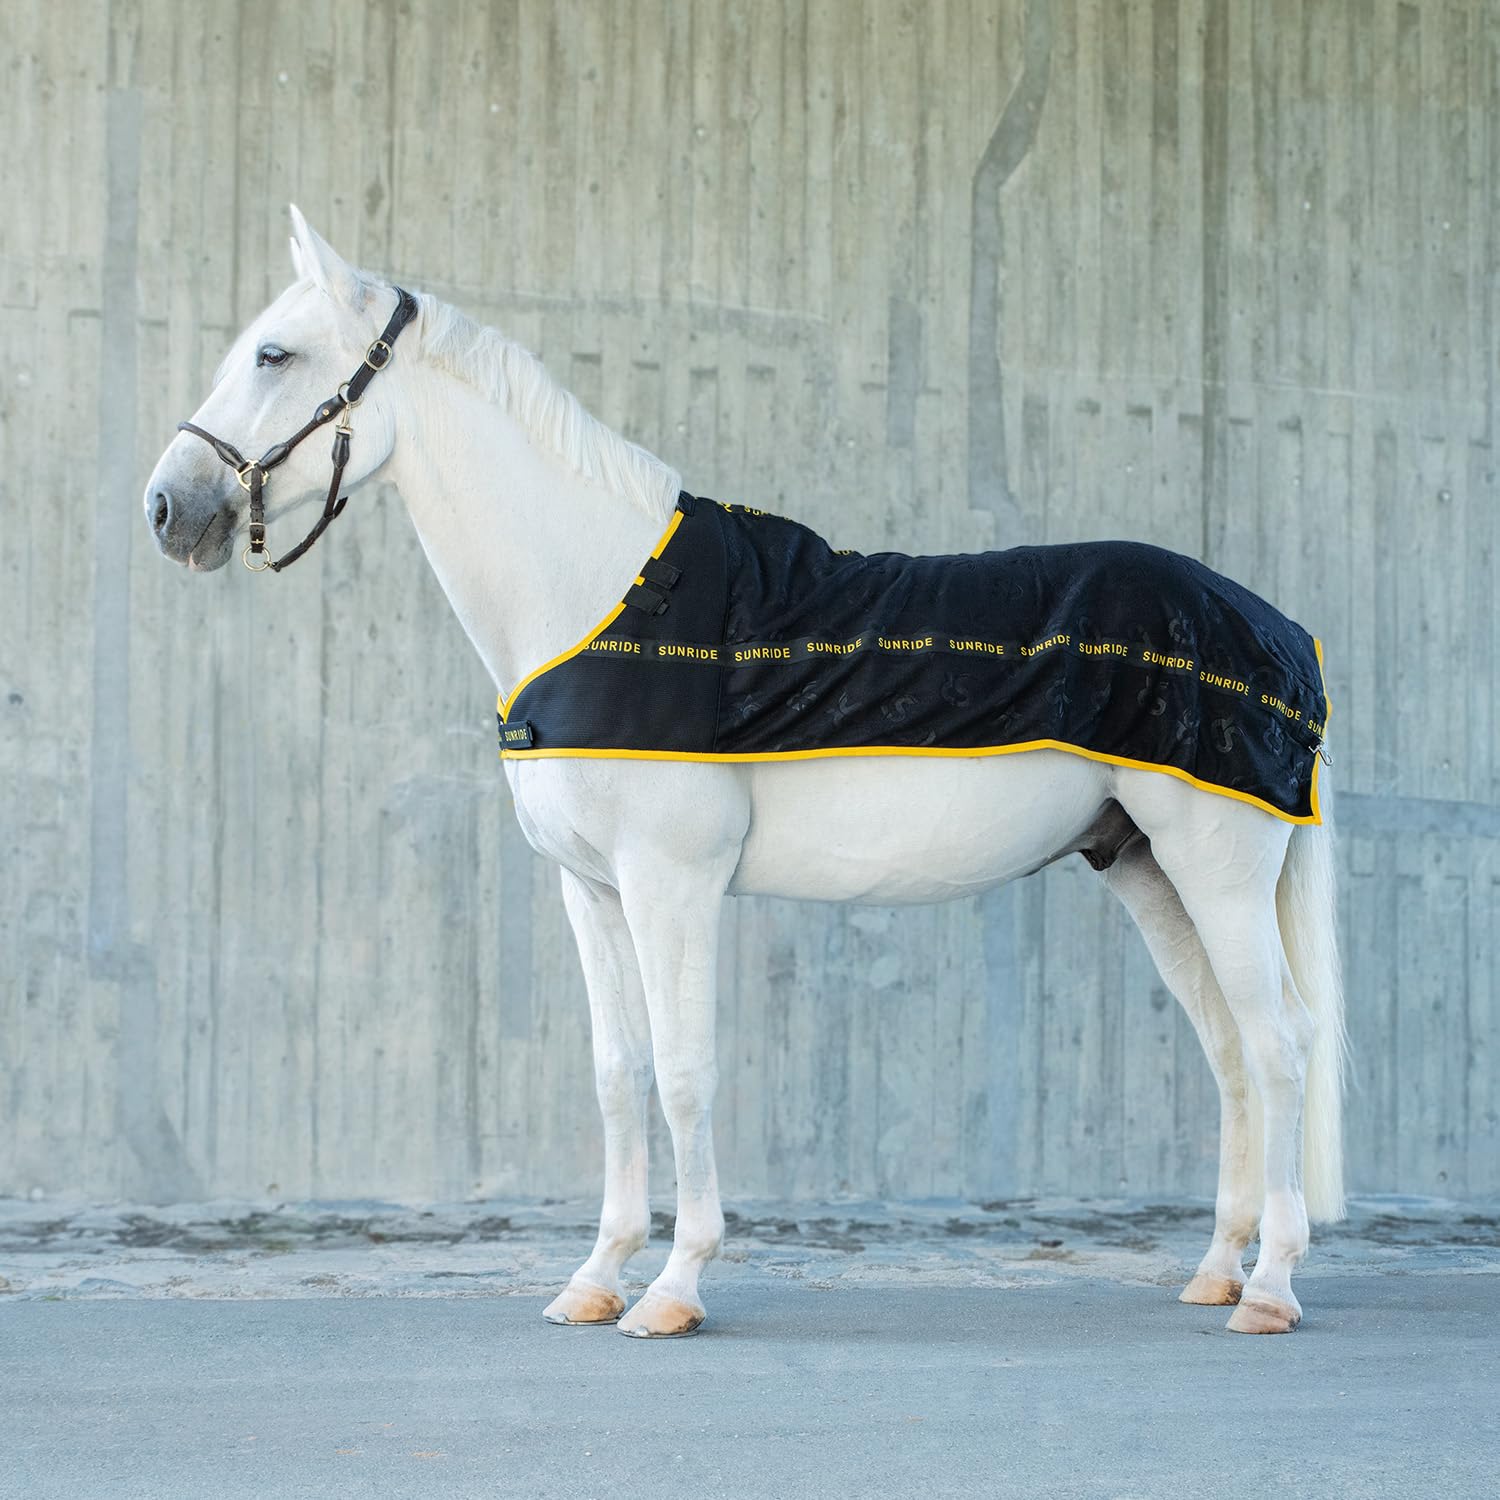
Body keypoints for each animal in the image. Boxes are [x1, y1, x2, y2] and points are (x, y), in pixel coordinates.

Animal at [144, 207, 1346, 1339]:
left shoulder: (672, 881)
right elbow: (618, 1074)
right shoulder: (592, 891)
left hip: (1216, 867)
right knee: (1231, 1049)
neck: (600, 599)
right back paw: (1214, 1270)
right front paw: (594, 1280)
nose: (169, 510)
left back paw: (1270, 1287)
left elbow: (685, 1073)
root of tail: (1286, 635)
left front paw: (674, 1288)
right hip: (1148, 871)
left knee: (1281, 1044)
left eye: (275, 355)